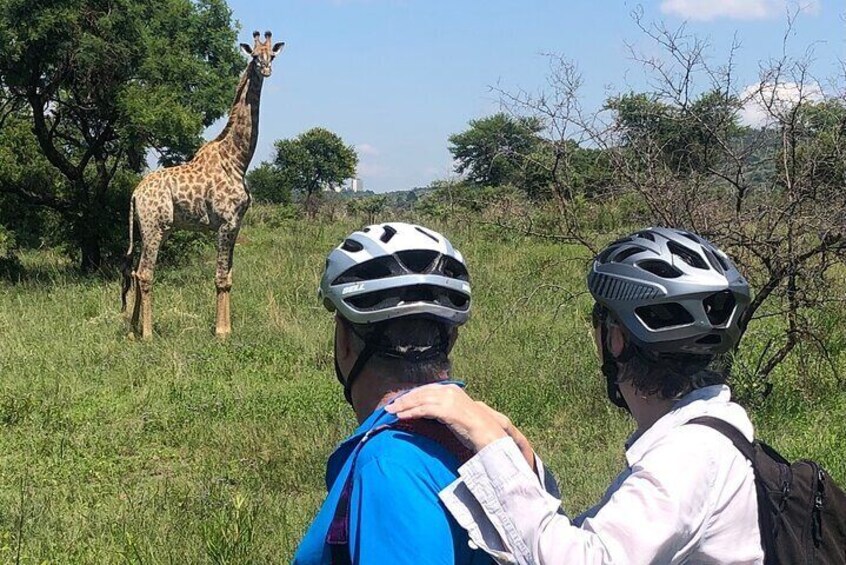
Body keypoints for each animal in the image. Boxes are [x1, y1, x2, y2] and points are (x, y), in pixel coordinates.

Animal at [121, 30, 284, 338]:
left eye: (272, 54)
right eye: (254, 55)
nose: (266, 69)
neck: (237, 159)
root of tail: (135, 194)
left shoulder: (236, 225)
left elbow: (229, 277)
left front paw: (228, 329)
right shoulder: (225, 223)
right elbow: (220, 277)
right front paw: (220, 332)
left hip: (149, 229)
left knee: (135, 271)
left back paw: (133, 329)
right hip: (155, 227)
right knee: (146, 273)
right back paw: (147, 334)